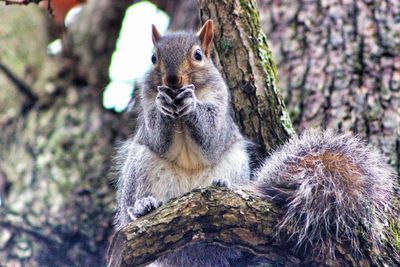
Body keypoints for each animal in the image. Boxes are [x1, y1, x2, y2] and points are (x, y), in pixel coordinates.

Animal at [111, 19, 396, 266]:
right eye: (153, 58)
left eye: (198, 55)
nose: (172, 80)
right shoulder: (147, 112)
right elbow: (157, 136)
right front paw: (164, 104)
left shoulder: (221, 113)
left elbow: (211, 139)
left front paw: (192, 104)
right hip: (140, 166)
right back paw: (144, 207)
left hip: (236, 160)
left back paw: (223, 185)